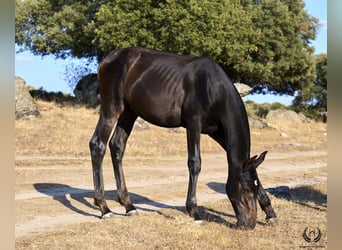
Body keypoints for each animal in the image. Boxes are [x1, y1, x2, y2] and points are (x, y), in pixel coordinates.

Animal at [89, 47, 276, 229]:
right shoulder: (194, 123)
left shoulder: (218, 133)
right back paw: (104, 208)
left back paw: (128, 205)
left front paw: (270, 213)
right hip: (112, 108)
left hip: (129, 112)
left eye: (254, 186)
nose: (249, 224)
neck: (213, 88)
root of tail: (107, 60)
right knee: (98, 145)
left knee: (117, 146)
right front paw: (194, 212)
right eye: (244, 188)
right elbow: (195, 163)